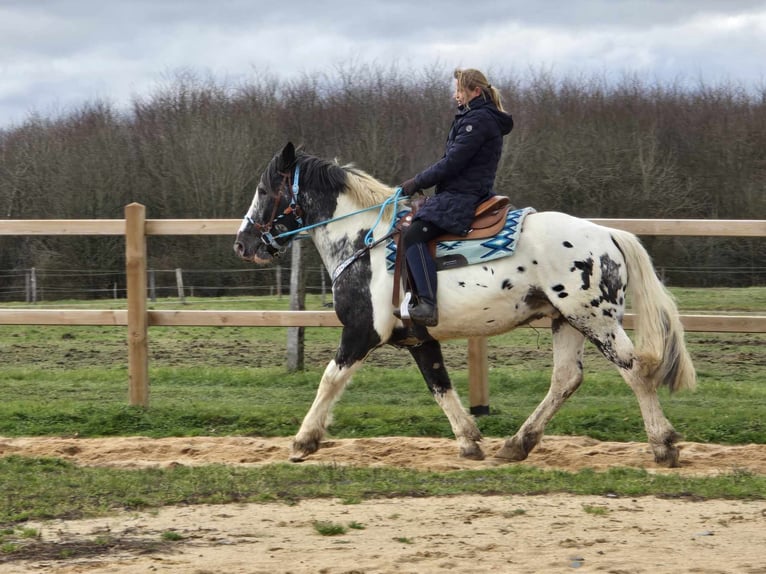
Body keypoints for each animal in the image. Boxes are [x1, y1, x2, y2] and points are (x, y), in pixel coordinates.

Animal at [236, 143, 704, 468]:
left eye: (263, 189)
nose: (242, 244)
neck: (364, 243)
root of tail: (608, 234)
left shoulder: (361, 332)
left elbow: (330, 380)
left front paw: (303, 441)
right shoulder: (419, 339)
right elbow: (440, 387)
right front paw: (469, 441)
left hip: (596, 320)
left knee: (635, 370)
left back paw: (663, 445)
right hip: (567, 321)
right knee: (565, 380)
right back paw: (517, 444)